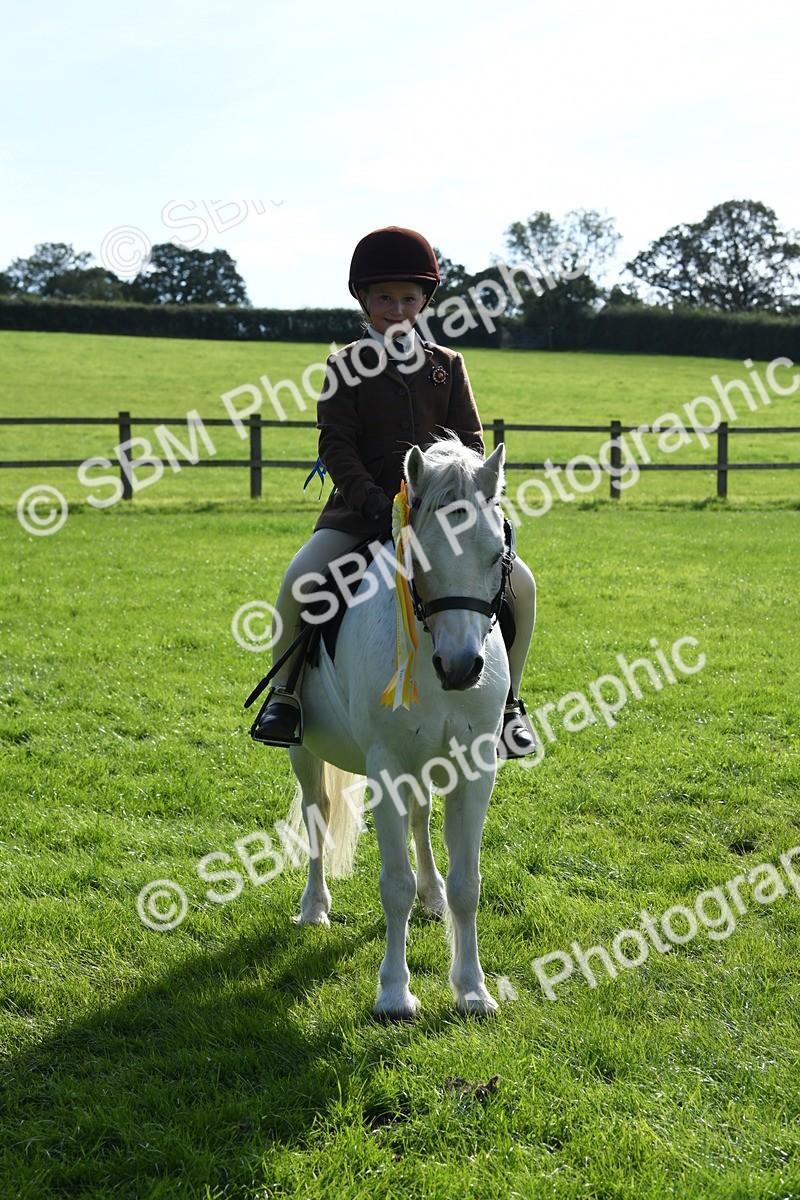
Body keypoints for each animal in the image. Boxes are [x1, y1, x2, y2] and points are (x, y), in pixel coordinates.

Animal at [286, 436, 511, 1020]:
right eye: (419, 554)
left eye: (495, 553)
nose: (461, 667)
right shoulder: (385, 765)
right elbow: (393, 885)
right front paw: (393, 993)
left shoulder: (474, 767)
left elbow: (467, 883)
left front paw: (472, 990)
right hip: (304, 751)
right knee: (317, 813)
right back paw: (314, 907)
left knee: (420, 817)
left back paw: (432, 897)